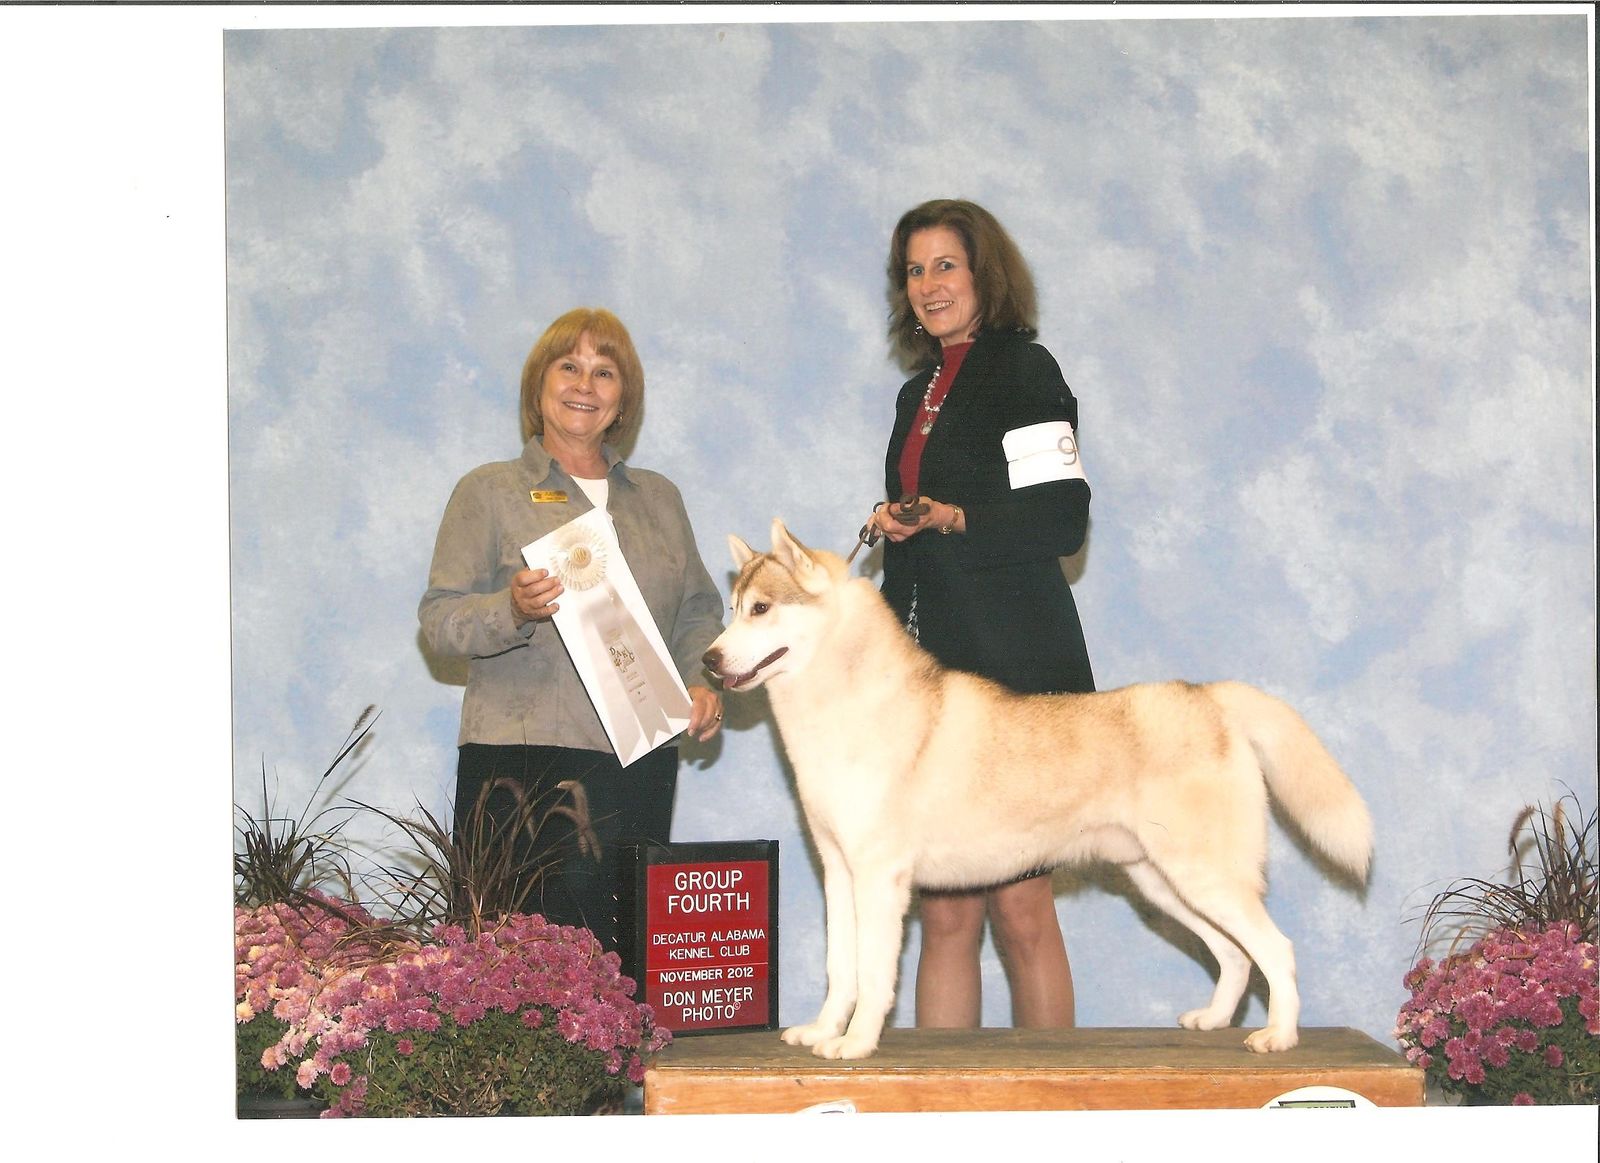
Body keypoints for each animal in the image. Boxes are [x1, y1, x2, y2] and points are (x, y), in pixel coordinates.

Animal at [702, 519, 1373, 1061]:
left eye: (761, 609)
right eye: (731, 610)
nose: (708, 659)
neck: (841, 707)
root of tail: (1209, 696)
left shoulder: (879, 878)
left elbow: (872, 976)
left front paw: (857, 1043)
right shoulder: (838, 872)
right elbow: (840, 969)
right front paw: (822, 1032)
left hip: (1204, 875)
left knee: (1277, 950)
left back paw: (1278, 1036)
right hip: (1162, 882)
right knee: (1234, 954)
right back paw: (1213, 1020)